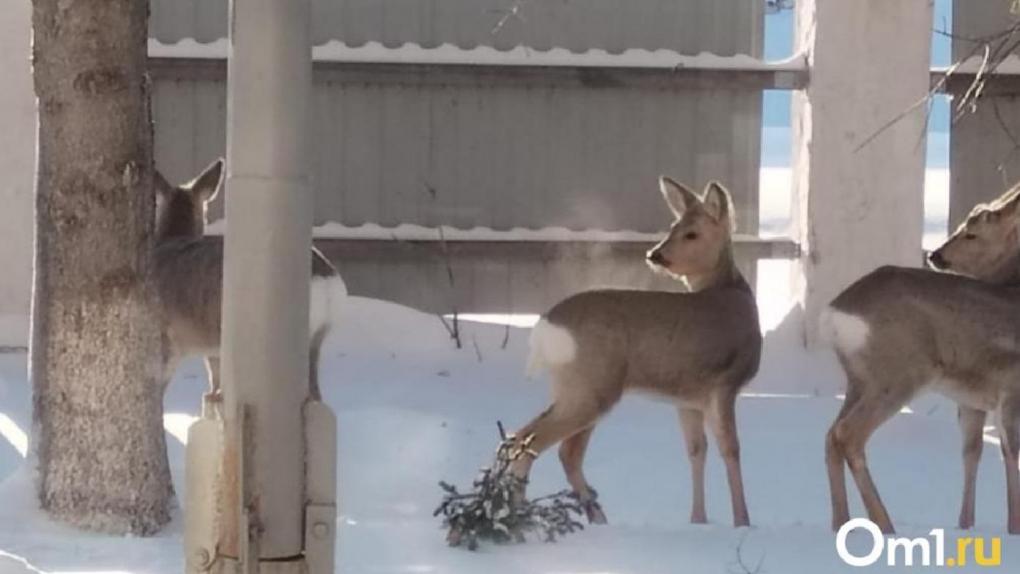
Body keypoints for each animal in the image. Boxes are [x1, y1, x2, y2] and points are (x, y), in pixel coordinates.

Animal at [510, 177, 758, 526]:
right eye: (674, 227)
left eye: (690, 233)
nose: (656, 255)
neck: (730, 292)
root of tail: (545, 327)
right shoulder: (723, 383)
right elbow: (731, 449)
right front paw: (742, 522)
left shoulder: (687, 397)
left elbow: (696, 451)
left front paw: (698, 520)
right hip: (592, 385)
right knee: (533, 441)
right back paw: (520, 513)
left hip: (574, 386)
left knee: (554, 448)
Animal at [820, 186, 1020, 538]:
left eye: (972, 232)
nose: (936, 255)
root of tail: (834, 313)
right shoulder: (1009, 390)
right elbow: (1011, 454)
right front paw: (1013, 528)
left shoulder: (976, 400)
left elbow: (974, 451)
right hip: (899, 375)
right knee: (848, 434)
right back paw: (884, 525)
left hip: (859, 380)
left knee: (831, 436)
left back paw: (842, 524)